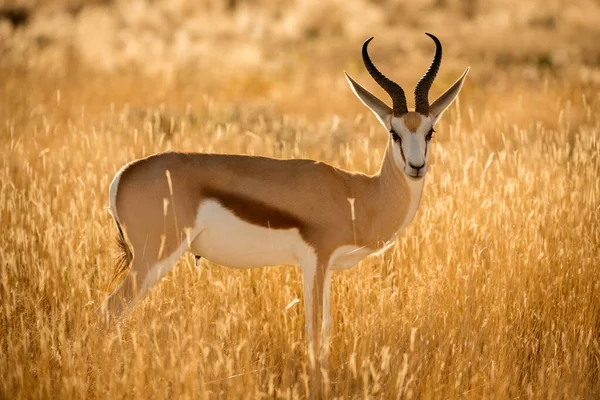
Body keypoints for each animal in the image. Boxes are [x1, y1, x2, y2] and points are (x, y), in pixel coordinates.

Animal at [102, 33, 468, 394]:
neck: (356, 194)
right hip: (154, 256)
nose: (416, 167)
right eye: (394, 132)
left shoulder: (327, 269)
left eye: (429, 131)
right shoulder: (315, 260)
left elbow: (326, 328)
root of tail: (123, 175)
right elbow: (314, 330)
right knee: (112, 308)